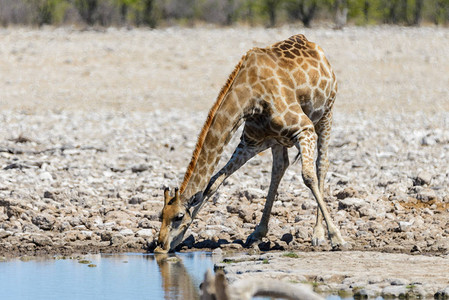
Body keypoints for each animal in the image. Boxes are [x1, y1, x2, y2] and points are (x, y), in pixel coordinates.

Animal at [156, 33, 344, 253]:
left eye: (178, 217)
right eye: (160, 215)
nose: (160, 245)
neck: (250, 98)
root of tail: (313, 45)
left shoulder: (304, 129)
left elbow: (308, 176)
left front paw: (336, 237)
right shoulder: (251, 142)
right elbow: (213, 182)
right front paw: (180, 239)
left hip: (326, 113)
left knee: (321, 165)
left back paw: (318, 234)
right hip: (277, 140)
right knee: (279, 167)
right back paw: (257, 233)